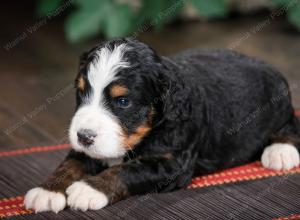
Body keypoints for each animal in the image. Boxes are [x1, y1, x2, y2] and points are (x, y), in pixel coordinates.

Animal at [24, 38, 300, 213]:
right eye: (81, 93)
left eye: (123, 101)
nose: (84, 136)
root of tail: (264, 63)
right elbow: (70, 164)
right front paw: (48, 190)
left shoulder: (173, 162)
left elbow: (127, 170)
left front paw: (90, 189)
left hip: (279, 104)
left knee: (291, 125)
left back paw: (280, 152)